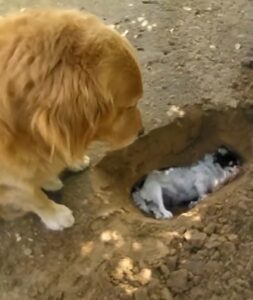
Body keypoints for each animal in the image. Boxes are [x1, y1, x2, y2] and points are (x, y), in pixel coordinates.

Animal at [0, 8, 143, 230]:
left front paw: (65, 165)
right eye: (129, 106)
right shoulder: (8, 180)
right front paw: (55, 214)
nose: (141, 131)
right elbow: (33, 196)